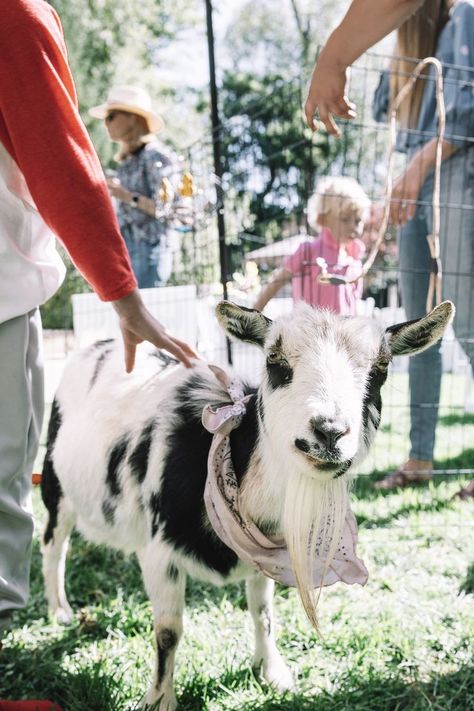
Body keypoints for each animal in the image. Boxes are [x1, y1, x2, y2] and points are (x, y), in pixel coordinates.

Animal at [39, 298, 452, 708]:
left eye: (380, 369)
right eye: (275, 361)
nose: (329, 431)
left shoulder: (265, 553)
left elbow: (263, 612)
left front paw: (273, 672)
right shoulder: (160, 551)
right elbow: (168, 631)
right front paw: (159, 699)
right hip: (54, 485)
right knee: (53, 544)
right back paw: (59, 610)